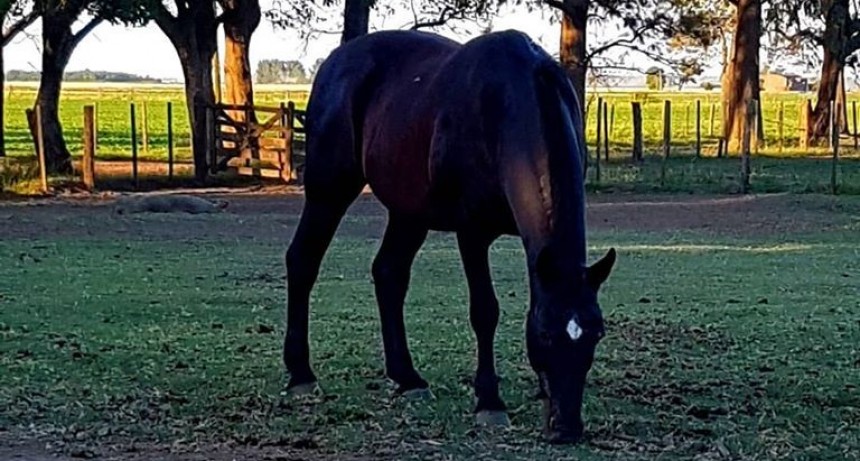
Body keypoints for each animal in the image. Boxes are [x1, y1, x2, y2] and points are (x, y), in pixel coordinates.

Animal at [286, 27, 616, 442]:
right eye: (545, 335)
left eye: (596, 334)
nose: (567, 428)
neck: (507, 105)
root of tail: (336, 60)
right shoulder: (472, 231)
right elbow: (485, 311)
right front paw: (489, 401)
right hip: (328, 191)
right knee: (303, 261)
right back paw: (300, 374)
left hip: (409, 213)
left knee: (389, 274)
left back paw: (408, 378)